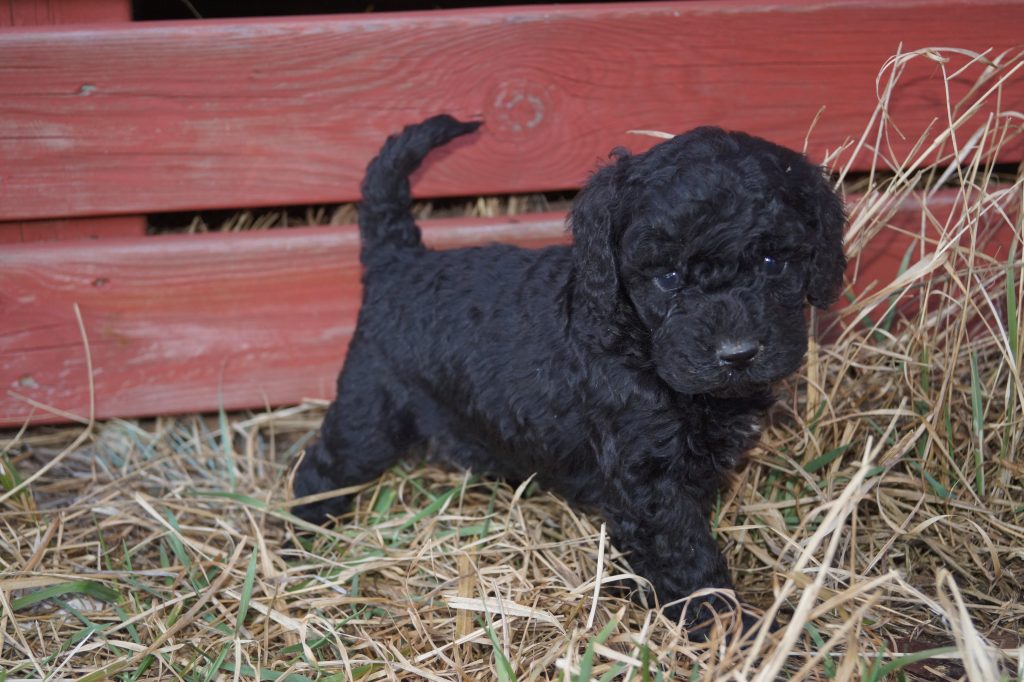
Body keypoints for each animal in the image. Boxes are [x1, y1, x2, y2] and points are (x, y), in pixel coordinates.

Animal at [293, 114, 846, 632]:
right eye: (668, 276)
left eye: (774, 261)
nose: (737, 354)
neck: (636, 343)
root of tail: (397, 260)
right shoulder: (647, 482)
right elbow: (687, 556)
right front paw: (730, 630)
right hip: (369, 410)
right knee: (321, 468)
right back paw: (304, 536)